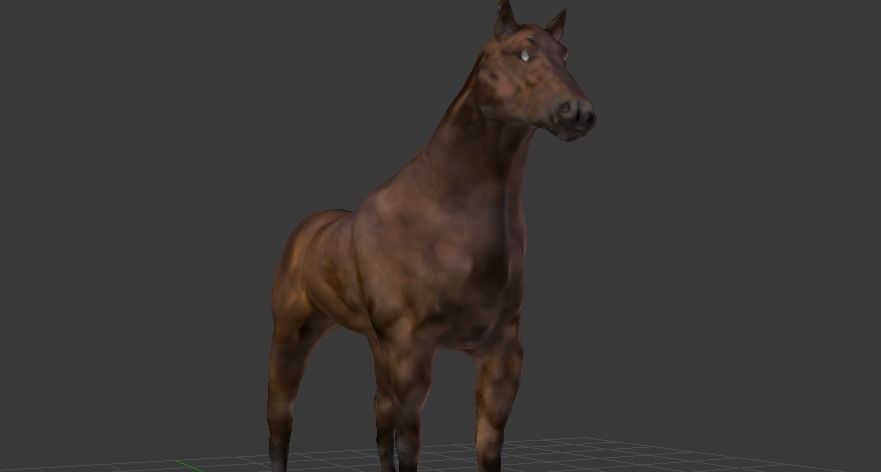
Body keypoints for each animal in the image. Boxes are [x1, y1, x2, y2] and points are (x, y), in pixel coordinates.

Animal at [267, 1, 596, 471]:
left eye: (564, 55)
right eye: (523, 53)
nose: (578, 112)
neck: (446, 218)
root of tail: (307, 229)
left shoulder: (500, 354)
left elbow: (486, 445)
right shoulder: (411, 353)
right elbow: (410, 445)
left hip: (376, 344)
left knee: (379, 413)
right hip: (293, 333)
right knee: (281, 414)